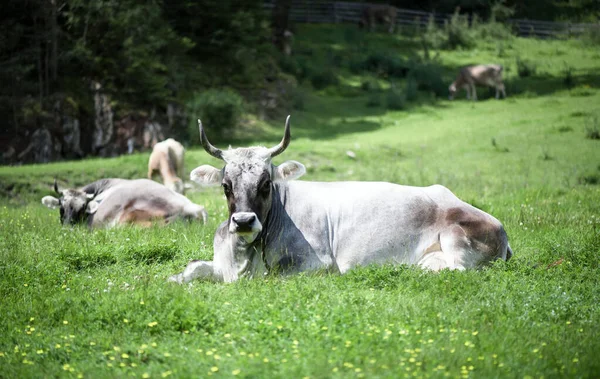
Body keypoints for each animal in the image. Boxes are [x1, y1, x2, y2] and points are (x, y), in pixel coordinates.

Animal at [168, 117, 510, 284]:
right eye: (226, 186)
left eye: (266, 184)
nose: (242, 221)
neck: (243, 259)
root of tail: (501, 229)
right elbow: (188, 270)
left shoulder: (313, 264)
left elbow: (272, 277)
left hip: (455, 236)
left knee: (457, 271)